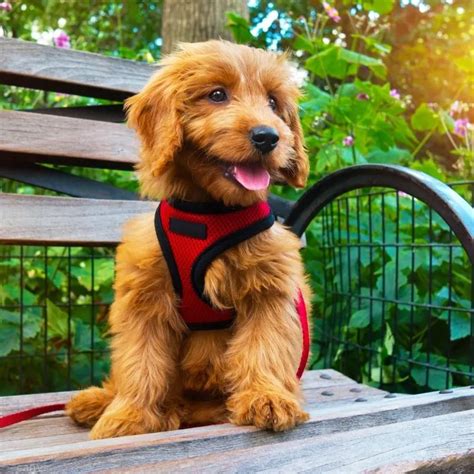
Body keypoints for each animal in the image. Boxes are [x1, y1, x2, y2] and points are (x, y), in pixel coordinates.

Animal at [66, 40, 312, 440]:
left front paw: (268, 398)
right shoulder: (145, 297)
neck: (209, 213)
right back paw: (98, 401)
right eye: (217, 94)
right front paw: (130, 416)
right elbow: (140, 362)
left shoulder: (268, 292)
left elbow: (264, 347)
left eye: (273, 103)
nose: (268, 136)